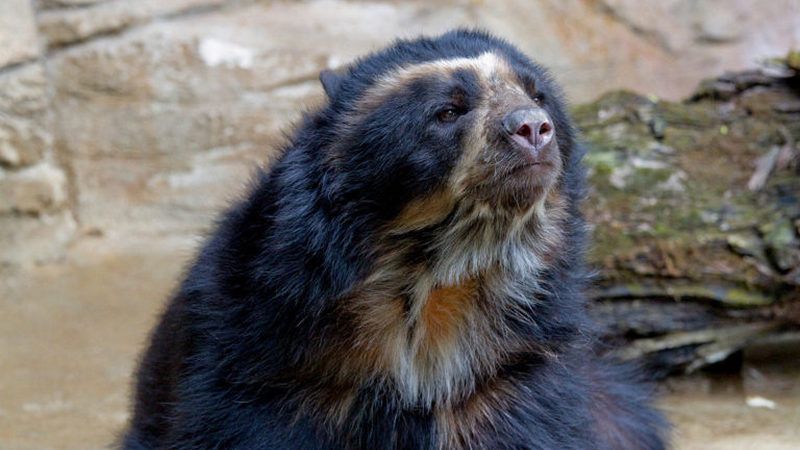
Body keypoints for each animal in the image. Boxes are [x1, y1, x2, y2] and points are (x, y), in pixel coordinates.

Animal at [122, 29, 668, 449]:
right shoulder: (263, 356)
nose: (533, 128)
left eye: (538, 96)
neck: (437, 276)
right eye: (447, 112)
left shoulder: (513, 366)